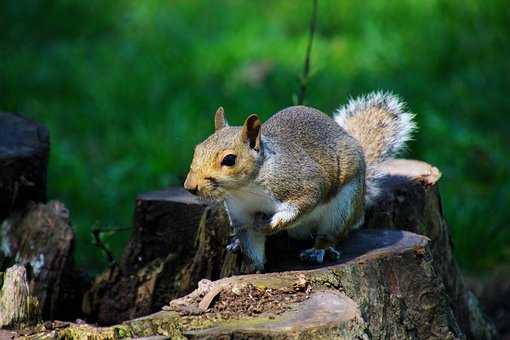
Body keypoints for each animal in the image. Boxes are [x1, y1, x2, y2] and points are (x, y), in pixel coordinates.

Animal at [183, 91, 414, 272]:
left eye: (230, 159)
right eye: (197, 149)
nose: (190, 187)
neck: (246, 189)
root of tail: (360, 206)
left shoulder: (304, 184)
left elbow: (299, 206)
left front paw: (269, 225)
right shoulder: (241, 215)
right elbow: (251, 244)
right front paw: (252, 269)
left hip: (343, 206)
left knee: (331, 234)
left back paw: (319, 250)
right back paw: (236, 244)